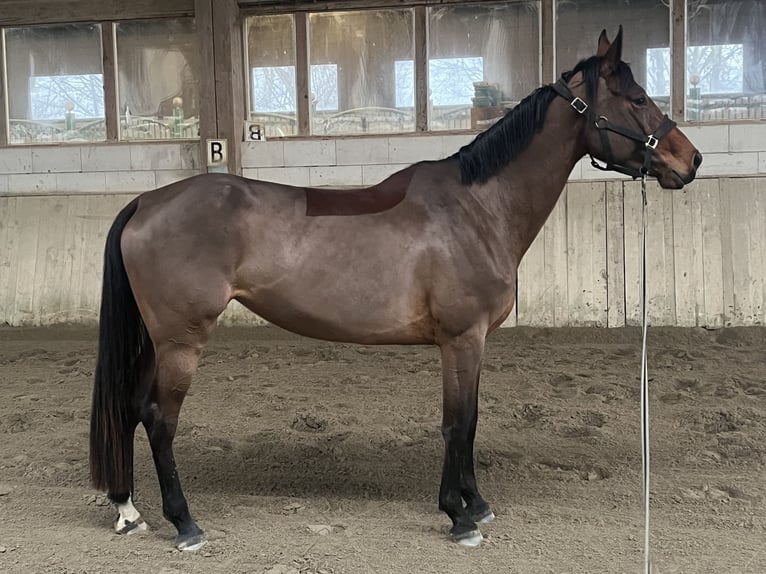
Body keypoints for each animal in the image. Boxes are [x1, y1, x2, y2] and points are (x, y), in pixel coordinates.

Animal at [90, 26, 701, 551]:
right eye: (638, 98)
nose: (690, 159)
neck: (477, 207)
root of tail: (147, 200)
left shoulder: (474, 342)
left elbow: (471, 421)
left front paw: (476, 504)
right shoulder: (461, 338)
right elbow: (457, 423)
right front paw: (458, 517)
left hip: (157, 342)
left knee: (132, 407)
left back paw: (128, 510)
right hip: (182, 342)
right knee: (160, 418)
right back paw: (185, 523)